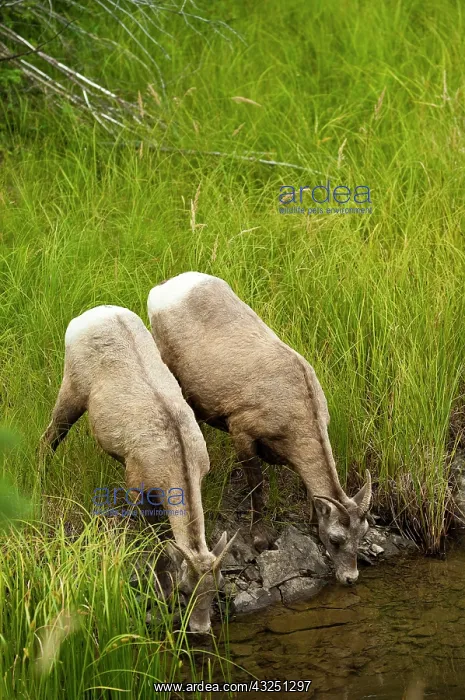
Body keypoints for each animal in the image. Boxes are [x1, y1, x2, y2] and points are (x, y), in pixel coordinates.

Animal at [40, 304, 236, 633]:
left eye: (217, 588)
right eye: (185, 590)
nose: (200, 629)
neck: (178, 461)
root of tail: (94, 313)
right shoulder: (137, 487)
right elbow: (156, 544)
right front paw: (160, 591)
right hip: (71, 388)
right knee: (50, 436)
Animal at [147, 273, 372, 586]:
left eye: (362, 534)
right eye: (336, 539)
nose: (350, 578)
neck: (296, 404)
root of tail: (165, 288)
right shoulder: (242, 432)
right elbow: (256, 485)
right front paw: (260, 539)